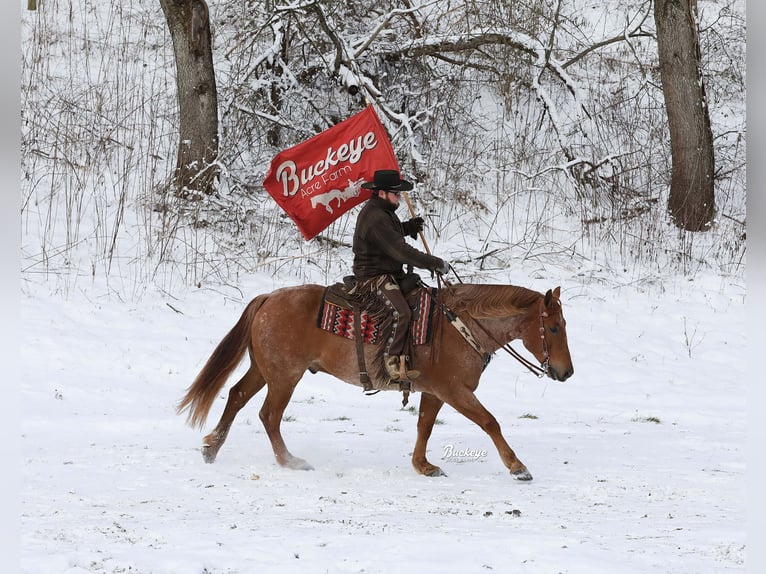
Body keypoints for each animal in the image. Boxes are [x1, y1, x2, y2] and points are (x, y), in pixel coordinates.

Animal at [177, 284, 572, 482]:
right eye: (553, 327)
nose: (566, 372)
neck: (459, 326)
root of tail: (268, 298)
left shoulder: (435, 392)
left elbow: (424, 425)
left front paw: (423, 466)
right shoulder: (455, 391)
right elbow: (490, 422)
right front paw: (517, 467)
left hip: (265, 370)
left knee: (237, 396)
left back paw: (212, 447)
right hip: (285, 376)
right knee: (269, 416)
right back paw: (290, 461)